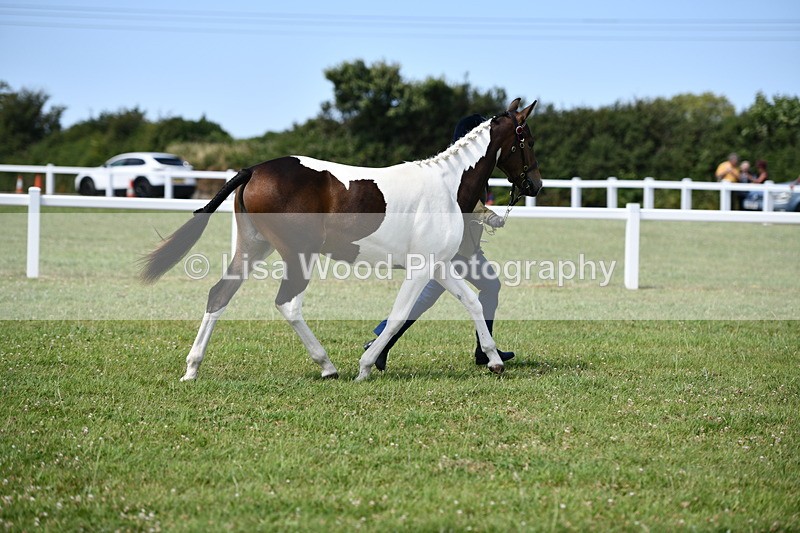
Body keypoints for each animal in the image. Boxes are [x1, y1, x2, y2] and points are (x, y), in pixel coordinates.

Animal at [140, 98, 542, 382]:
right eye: (527, 139)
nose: (535, 184)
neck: (446, 186)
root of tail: (252, 170)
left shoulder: (439, 266)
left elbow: (470, 302)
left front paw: (494, 360)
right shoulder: (422, 267)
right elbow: (400, 314)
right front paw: (366, 365)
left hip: (252, 248)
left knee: (219, 295)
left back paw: (192, 368)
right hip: (298, 256)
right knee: (287, 304)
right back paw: (327, 365)